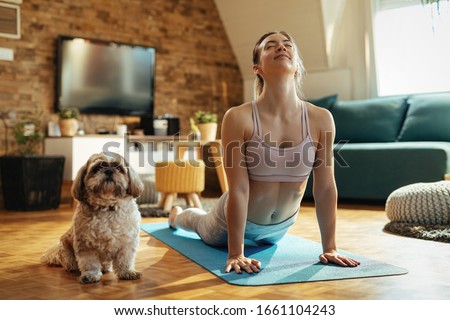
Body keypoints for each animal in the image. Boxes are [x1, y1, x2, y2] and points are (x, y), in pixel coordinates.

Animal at [41, 153, 144, 284]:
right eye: (97, 168)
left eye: (118, 168)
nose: (109, 170)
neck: (107, 207)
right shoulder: (85, 244)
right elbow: (90, 263)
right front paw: (90, 275)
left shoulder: (127, 242)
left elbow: (125, 259)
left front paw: (127, 272)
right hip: (66, 249)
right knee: (71, 263)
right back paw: (73, 268)